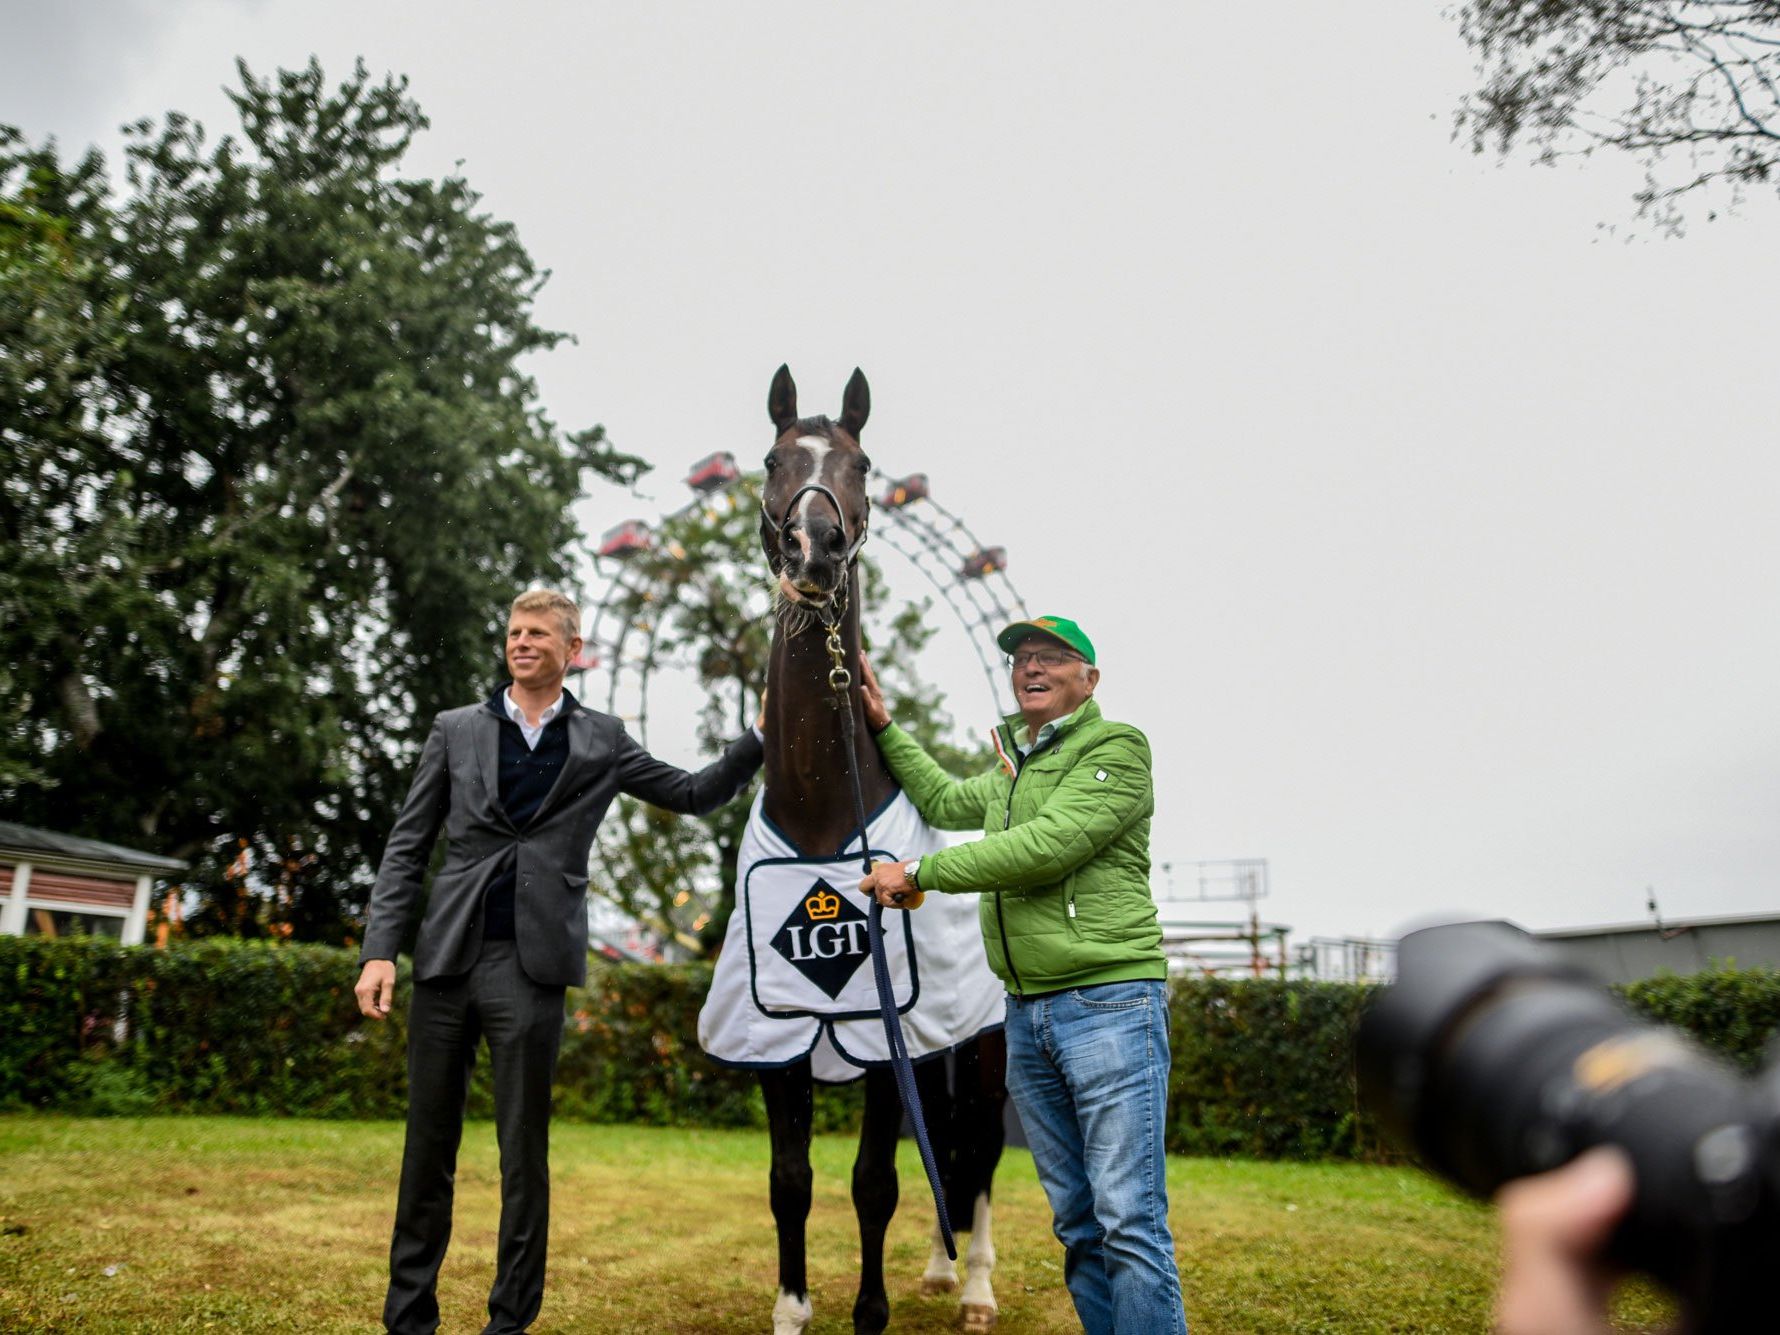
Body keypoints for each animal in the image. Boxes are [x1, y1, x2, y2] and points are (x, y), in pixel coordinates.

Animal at [747, 366, 1011, 1335]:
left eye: (862, 464)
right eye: (773, 458)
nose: (813, 548)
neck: (827, 811)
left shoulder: (880, 1034)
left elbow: (871, 1183)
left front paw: (869, 1311)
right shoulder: (774, 1040)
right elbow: (791, 1181)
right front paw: (792, 1309)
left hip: (980, 1048)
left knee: (978, 1149)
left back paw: (974, 1284)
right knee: (944, 1147)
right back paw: (937, 1269)